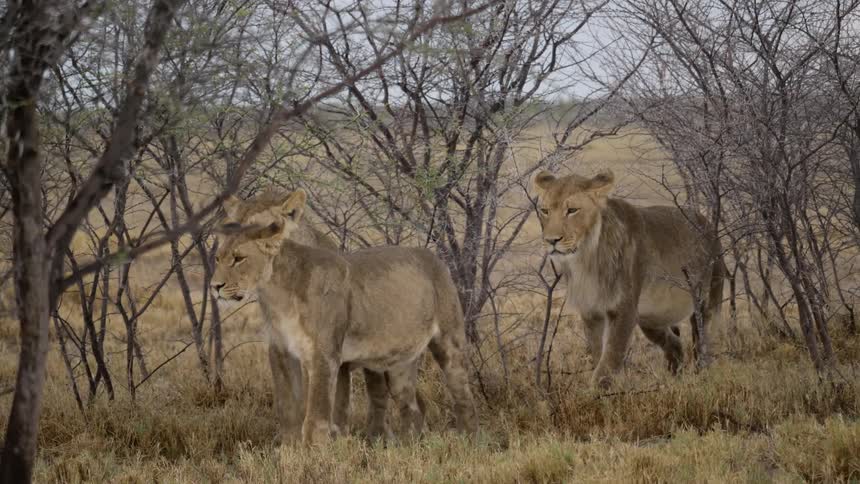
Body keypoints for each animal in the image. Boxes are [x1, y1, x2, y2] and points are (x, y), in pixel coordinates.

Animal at [211, 189, 477, 445]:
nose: (215, 286)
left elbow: (323, 416)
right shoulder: (281, 351)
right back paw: (408, 447)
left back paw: (466, 441)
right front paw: (289, 450)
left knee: (463, 398)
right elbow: (288, 410)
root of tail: (433, 256)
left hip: (449, 343)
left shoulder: (328, 356)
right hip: (399, 363)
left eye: (239, 258)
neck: (277, 293)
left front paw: (323, 450)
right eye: (218, 257)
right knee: (411, 407)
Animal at [532, 169, 725, 388]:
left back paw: (702, 375)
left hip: (707, 300)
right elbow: (597, 352)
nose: (551, 240)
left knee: (703, 342)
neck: (586, 258)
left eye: (572, 210)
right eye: (545, 211)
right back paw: (674, 379)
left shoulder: (624, 308)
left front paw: (596, 391)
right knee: (674, 343)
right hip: (651, 318)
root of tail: (707, 223)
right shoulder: (591, 311)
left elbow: (610, 358)